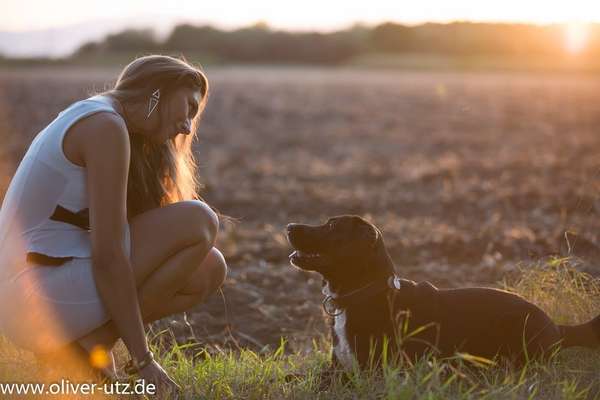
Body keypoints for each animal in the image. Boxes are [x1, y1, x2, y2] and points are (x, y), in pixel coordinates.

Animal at [286, 216, 600, 372]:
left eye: (331, 226)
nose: (289, 226)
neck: (365, 294)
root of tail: (557, 327)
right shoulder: (338, 371)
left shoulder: (372, 373)